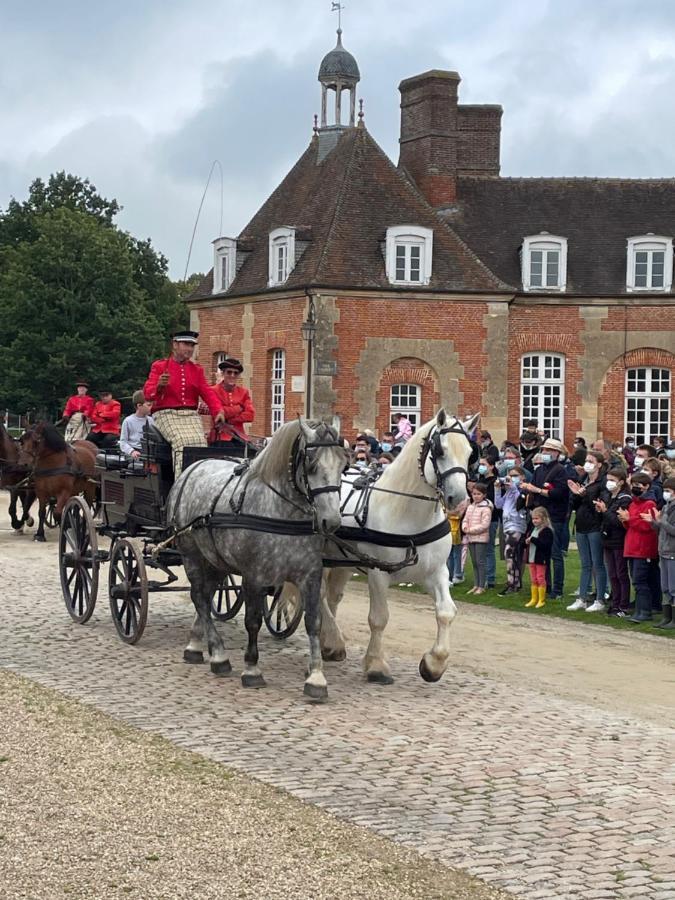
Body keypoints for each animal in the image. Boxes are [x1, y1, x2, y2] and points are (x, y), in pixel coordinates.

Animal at [320, 412, 478, 684]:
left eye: (470, 453)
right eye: (440, 450)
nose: (459, 500)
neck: (408, 514)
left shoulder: (435, 572)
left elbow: (446, 612)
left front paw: (434, 664)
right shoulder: (377, 572)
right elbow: (379, 618)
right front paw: (376, 665)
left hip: (341, 563)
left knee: (331, 597)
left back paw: (328, 642)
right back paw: (333, 639)